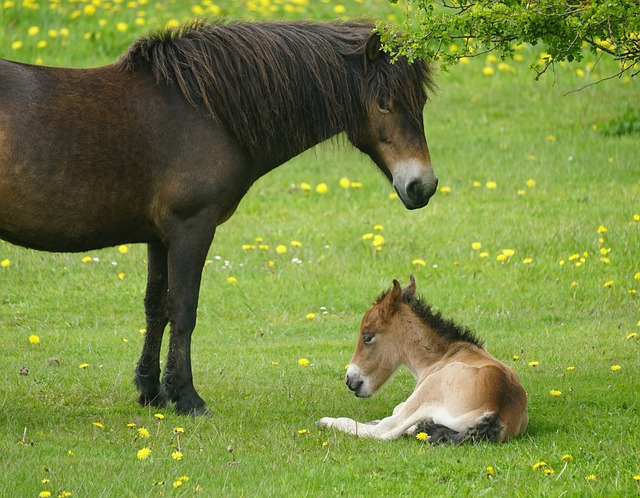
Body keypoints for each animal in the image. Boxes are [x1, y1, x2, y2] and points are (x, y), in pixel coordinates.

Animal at [0, 21, 440, 414]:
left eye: (421, 104)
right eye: (384, 103)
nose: (423, 186)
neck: (204, 111)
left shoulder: (159, 237)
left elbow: (155, 307)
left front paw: (151, 393)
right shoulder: (191, 227)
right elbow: (182, 310)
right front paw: (187, 398)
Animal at [316, 276, 528, 444]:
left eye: (367, 337)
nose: (350, 380)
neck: (443, 355)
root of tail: (497, 406)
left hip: (426, 393)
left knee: (386, 430)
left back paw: (327, 421)